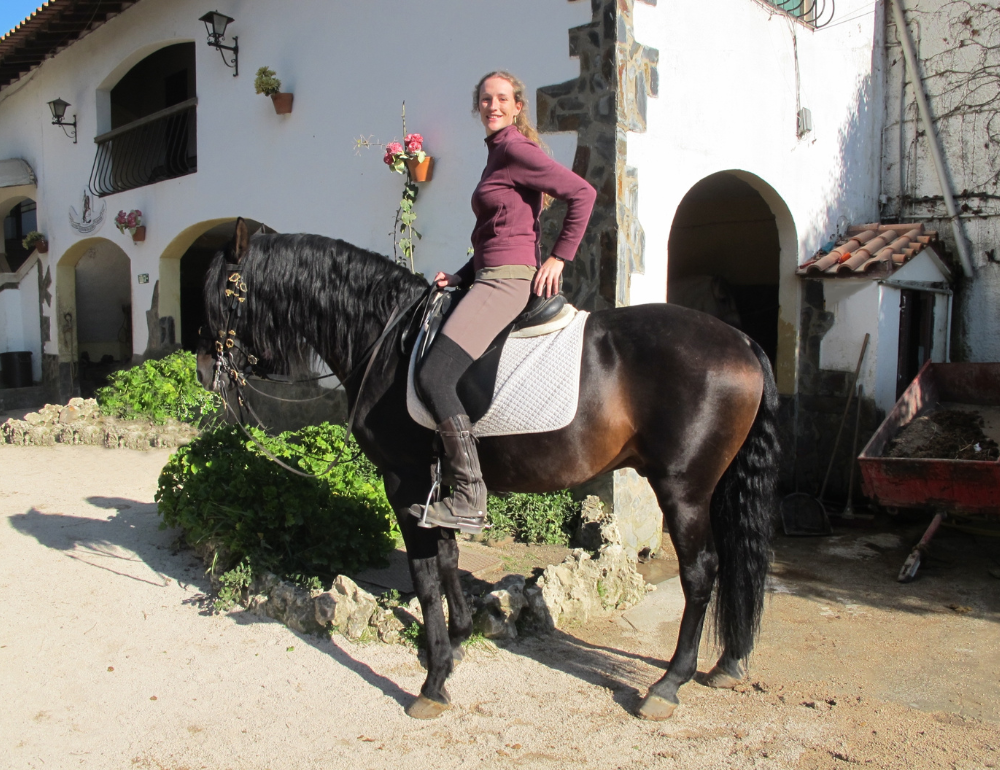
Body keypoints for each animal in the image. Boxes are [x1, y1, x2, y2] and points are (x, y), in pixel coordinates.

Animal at [199, 220, 776, 720]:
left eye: (225, 290)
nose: (206, 371)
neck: (384, 339)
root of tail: (741, 341)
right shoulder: (441, 486)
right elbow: (449, 558)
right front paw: (455, 639)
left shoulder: (404, 482)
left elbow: (424, 576)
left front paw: (434, 681)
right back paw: (727, 663)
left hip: (683, 488)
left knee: (700, 572)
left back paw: (669, 684)